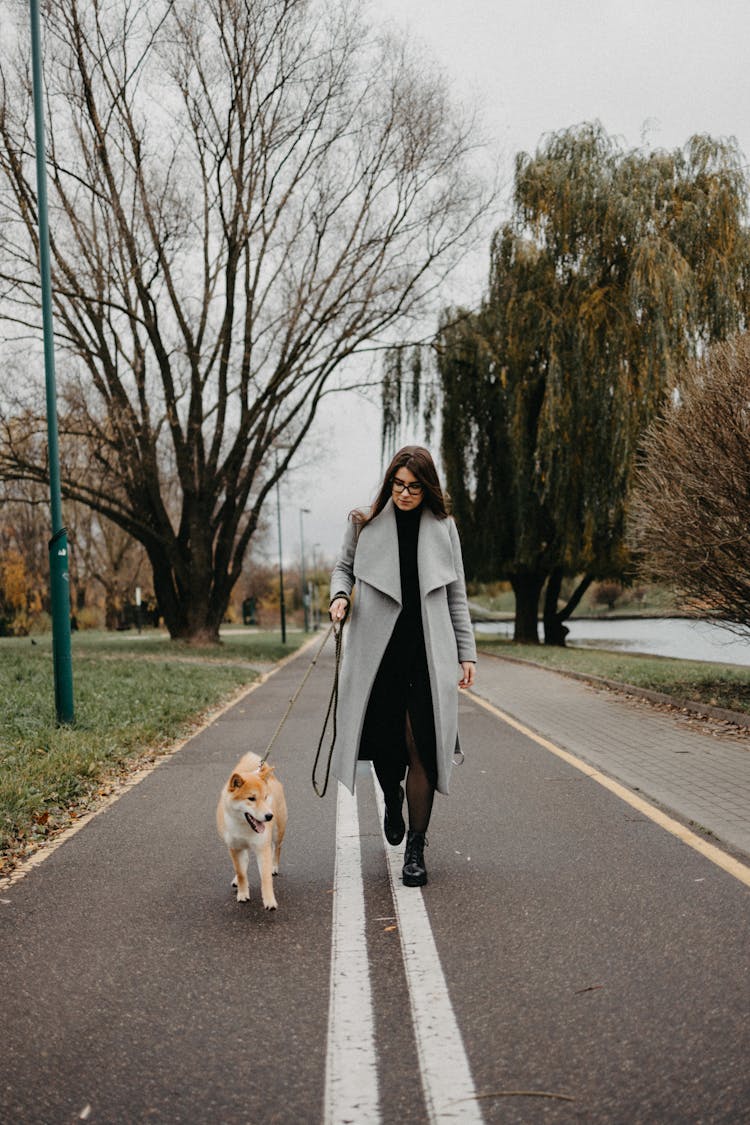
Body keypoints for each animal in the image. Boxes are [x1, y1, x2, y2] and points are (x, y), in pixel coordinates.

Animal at [218, 751, 290, 909]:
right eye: (251, 798)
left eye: (265, 797)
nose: (269, 816)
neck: (244, 827)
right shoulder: (234, 848)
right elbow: (241, 873)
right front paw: (242, 893)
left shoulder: (262, 847)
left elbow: (265, 878)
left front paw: (269, 901)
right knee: (244, 862)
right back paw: (236, 880)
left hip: (278, 832)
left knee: (277, 848)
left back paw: (274, 866)